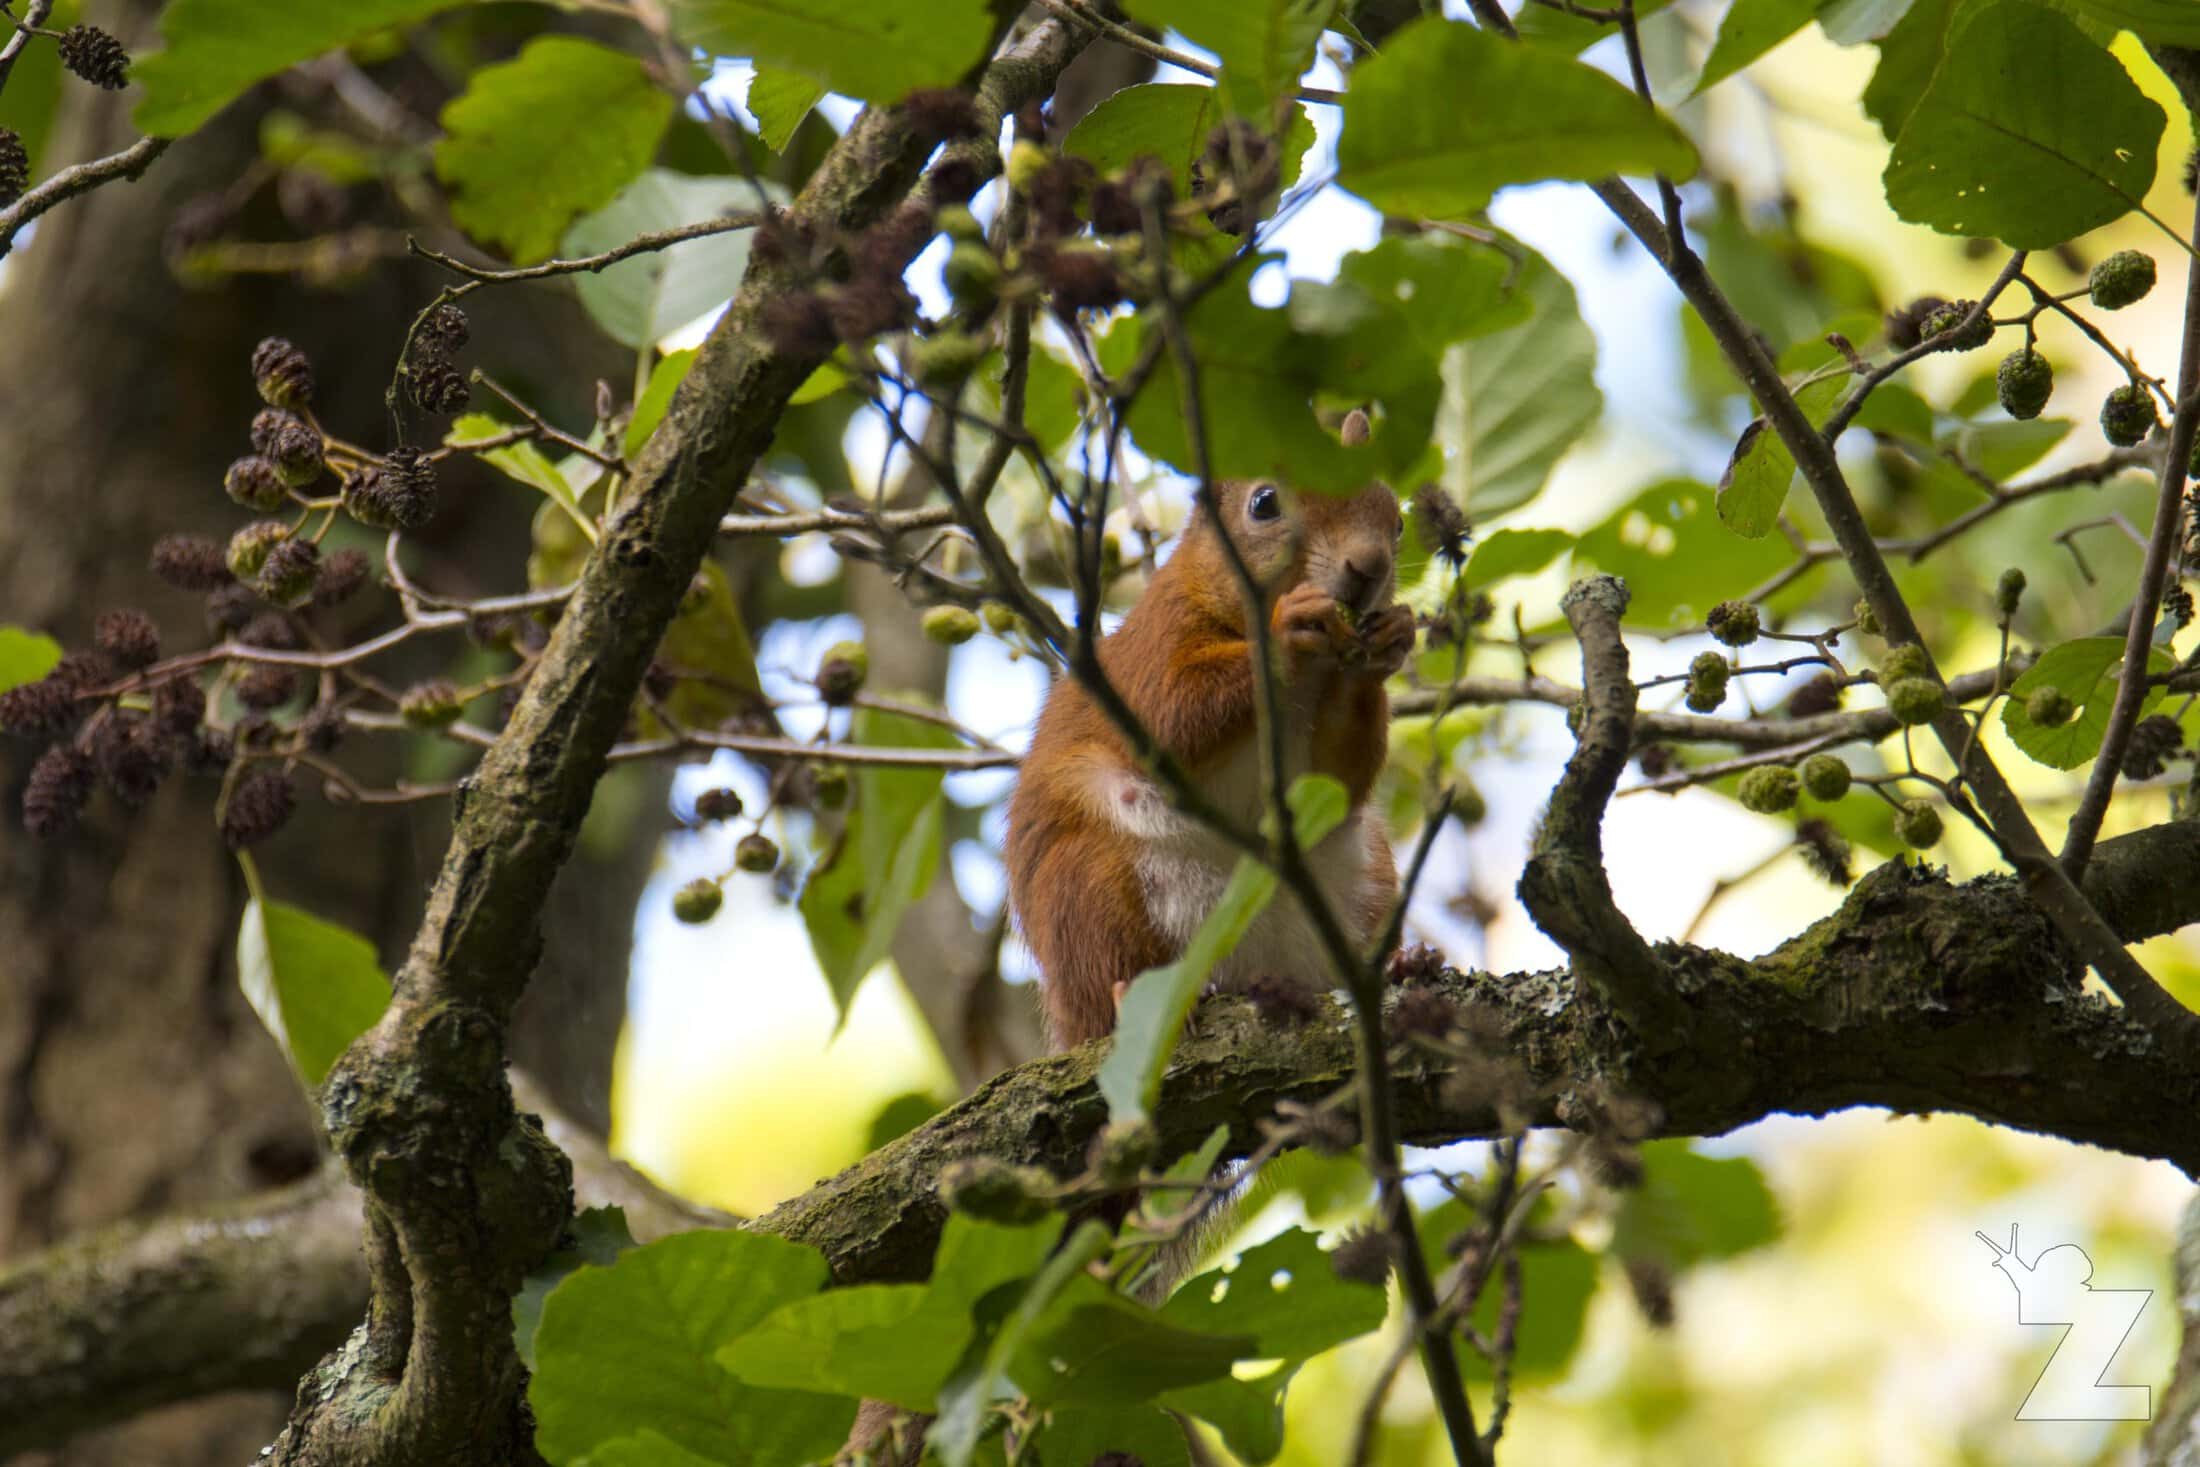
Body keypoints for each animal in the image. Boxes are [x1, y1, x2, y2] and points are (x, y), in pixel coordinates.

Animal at [1006, 408, 1412, 1049]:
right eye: (1264, 503)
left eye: (1396, 519)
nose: (1369, 568)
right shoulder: (1149, 652)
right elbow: (1176, 713)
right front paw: (1288, 630)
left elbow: (1341, 776)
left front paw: (1390, 639)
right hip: (1087, 886)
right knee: (1106, 969)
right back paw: (1126, 997)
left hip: (1367, 879)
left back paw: (1400, 964)